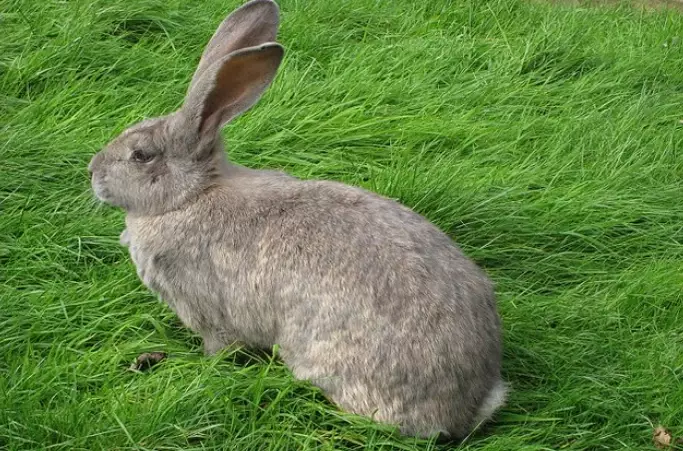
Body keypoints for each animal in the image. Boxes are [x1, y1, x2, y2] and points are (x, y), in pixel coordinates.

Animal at [88, 0, 506, 440]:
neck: (189, 197)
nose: (92, 172)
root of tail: (469, 406)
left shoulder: (208, 312)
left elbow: (217, 346)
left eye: (141, 155)